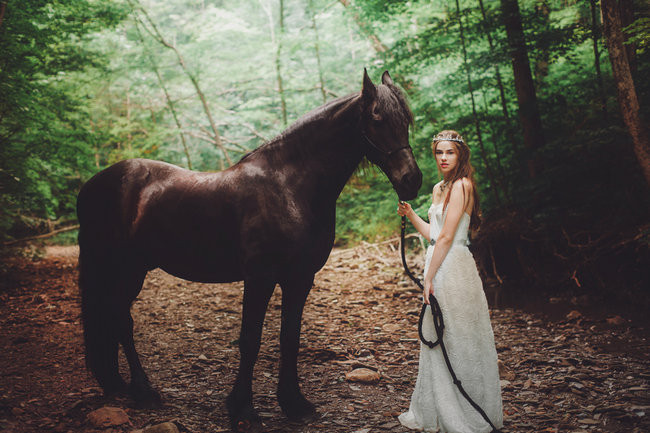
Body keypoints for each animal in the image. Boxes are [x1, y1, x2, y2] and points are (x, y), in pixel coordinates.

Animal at [77, 69, 420, 430]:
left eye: (405, 119)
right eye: (377, 118)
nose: (412, 180)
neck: (289, 188)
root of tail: (93, 185)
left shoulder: (300, 278)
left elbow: (290, 338)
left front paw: (294, 403)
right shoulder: (260, 277)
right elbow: (250, 340)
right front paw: (241, 408)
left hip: (132, 269)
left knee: (115, 316)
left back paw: (120, 385)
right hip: (123, 268)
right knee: (121, 320)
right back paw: (144, 392)